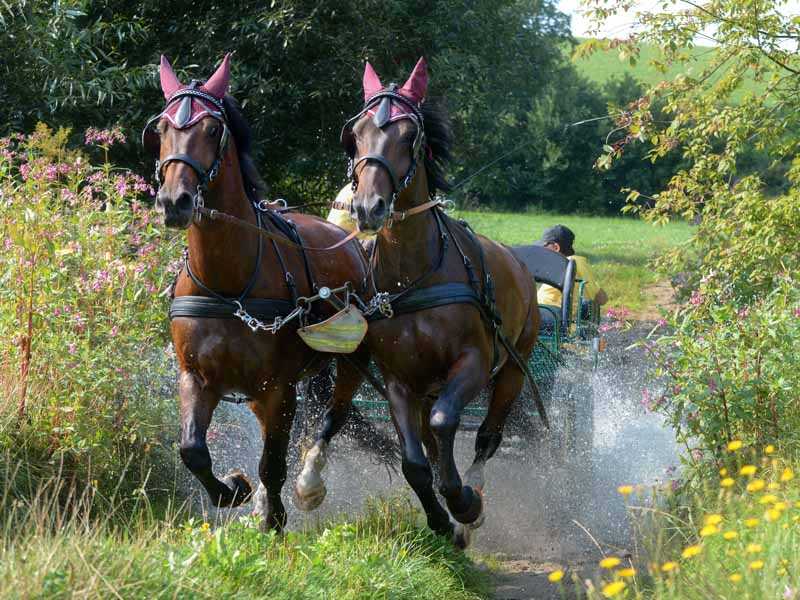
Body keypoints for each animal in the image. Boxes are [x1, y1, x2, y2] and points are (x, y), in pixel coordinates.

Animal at [143, 56, 378, 532]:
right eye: (161, 127)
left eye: (211, 128)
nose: (174, 202)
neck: (228, 283)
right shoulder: (196, 377)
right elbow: (192, 451)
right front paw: (235, 489)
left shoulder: (278, 388)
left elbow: (272, 463)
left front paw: (272, 519)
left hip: (350, 363)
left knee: (333, 416)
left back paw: (307, 486)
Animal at [296, 58, 548, 548]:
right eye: (355, 132)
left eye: (409, 135)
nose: (368, 208)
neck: (414, 274)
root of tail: (519, 262)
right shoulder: (399, 380)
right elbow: (415, 460)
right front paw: (439, 519)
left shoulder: (472, 363)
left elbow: (445, 422)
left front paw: (463, 504)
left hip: (512, 367)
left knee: (488, 435)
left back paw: (474, 495)